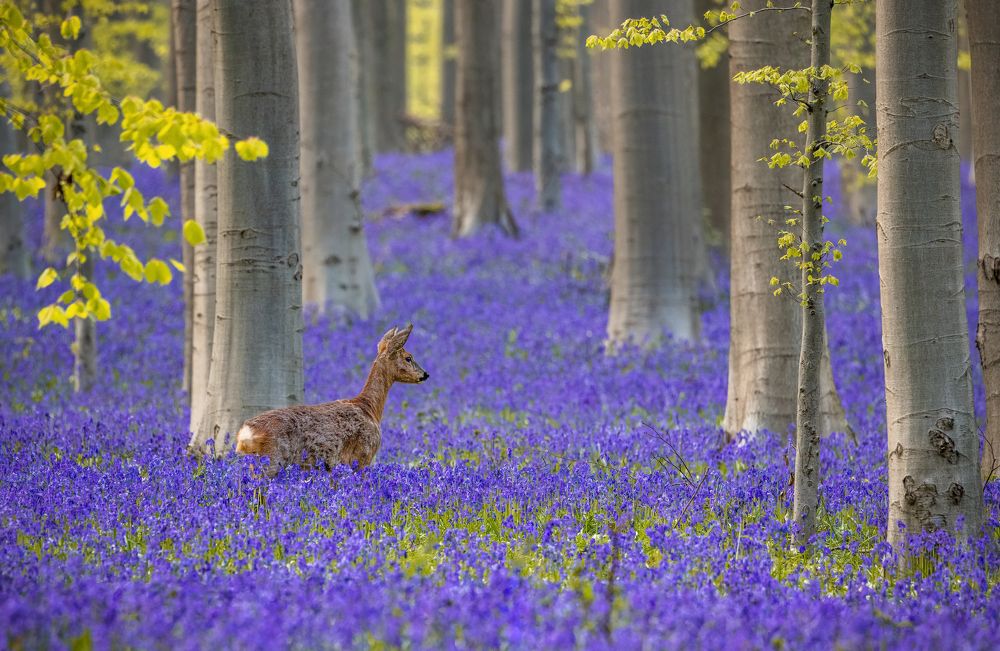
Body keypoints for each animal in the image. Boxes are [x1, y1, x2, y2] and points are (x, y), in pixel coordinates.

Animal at [236, 326, 428, 474]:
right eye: (408, 357)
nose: (425, 374)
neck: (370, 408)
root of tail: (245, 434)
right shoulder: (364, 455)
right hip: (271, 460)